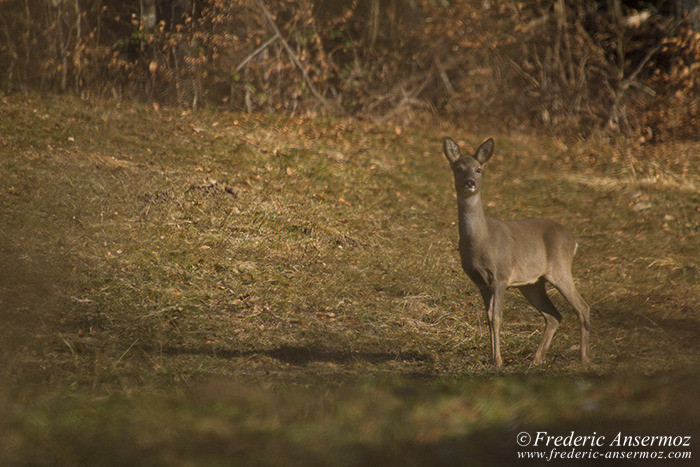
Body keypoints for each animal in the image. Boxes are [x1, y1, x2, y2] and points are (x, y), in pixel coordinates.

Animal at [442, 137, 592, 368]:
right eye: (458, 168)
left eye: (478, 169)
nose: (470, 183)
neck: (480, 240)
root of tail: (573, 241)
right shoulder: (481, 282)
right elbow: (488, 318)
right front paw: (493, 357)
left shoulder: (501, 274)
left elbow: (497, 318)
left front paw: (498, 360)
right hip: (532, 284)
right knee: (553, 315)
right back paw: (537, 359)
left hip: (560, 268)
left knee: (582, 307)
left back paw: (584, 359)